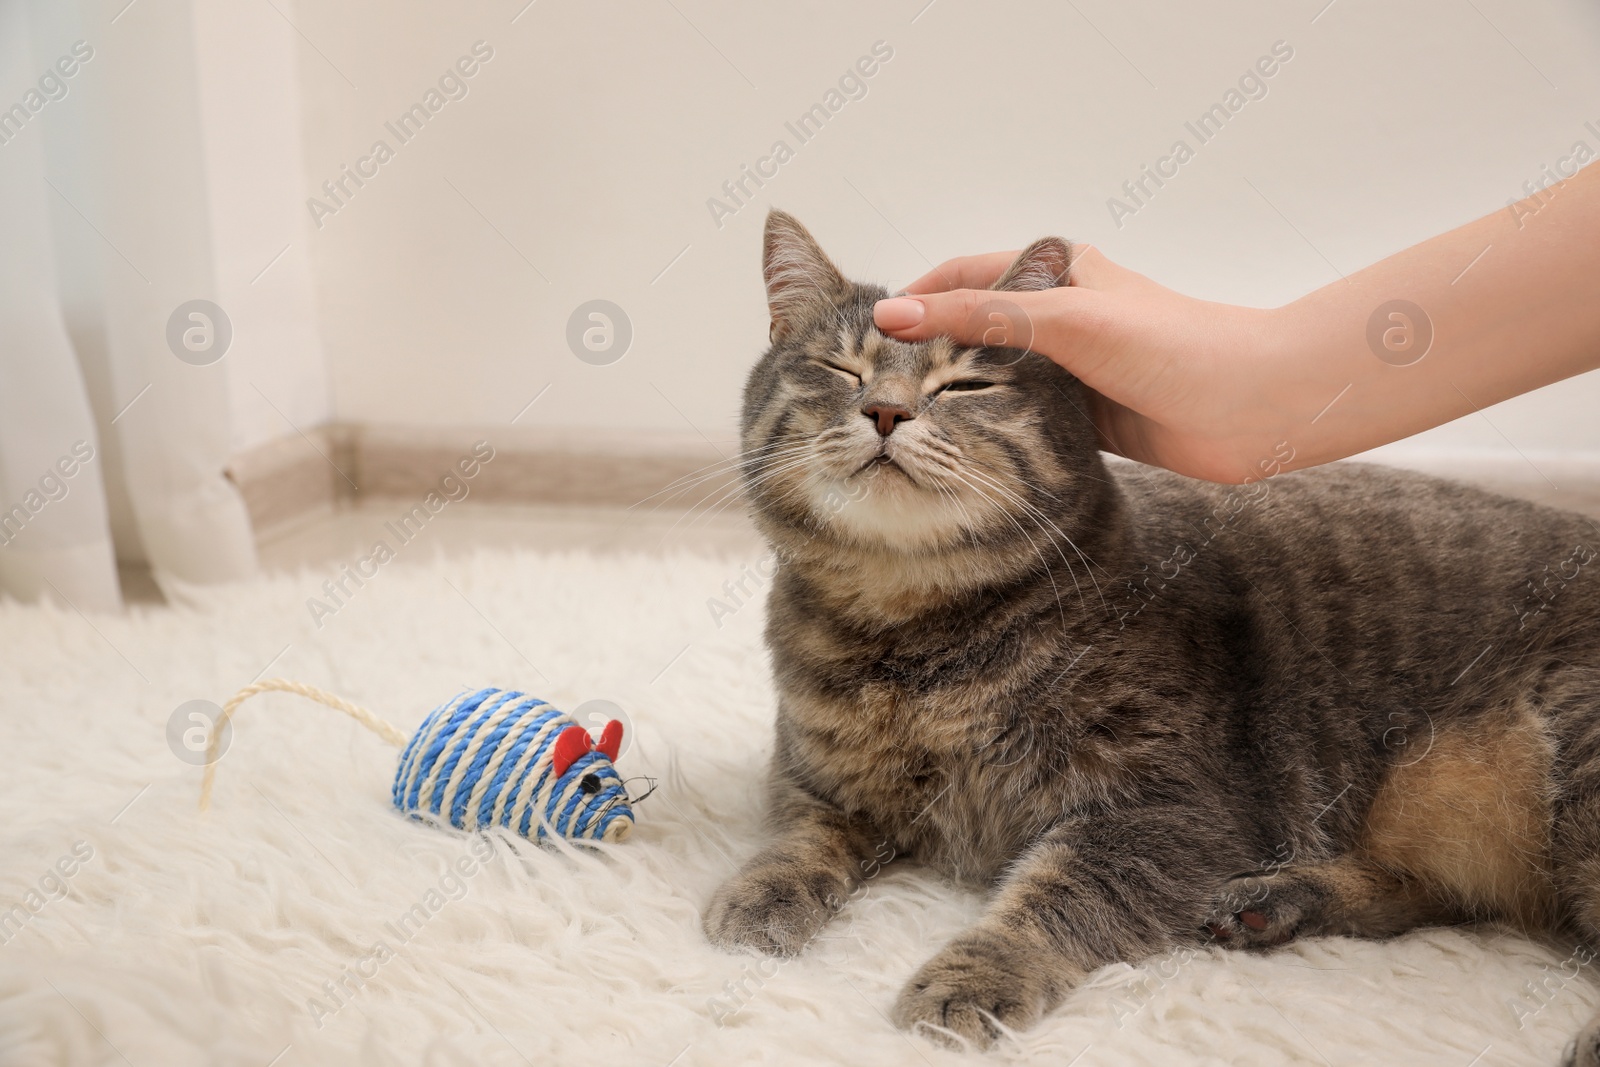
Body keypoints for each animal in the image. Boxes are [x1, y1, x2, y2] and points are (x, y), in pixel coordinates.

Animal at [707, 207, 1600, 1062]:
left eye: (965, 382)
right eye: (840, 370)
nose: (885, 408)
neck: (915, 636)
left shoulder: (1169, 809)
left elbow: (1057, 895)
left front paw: (976, 974)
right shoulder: (818, 777)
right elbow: (801, 835)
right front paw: (760, 893)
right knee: (1430, 893)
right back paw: (1278, 902)